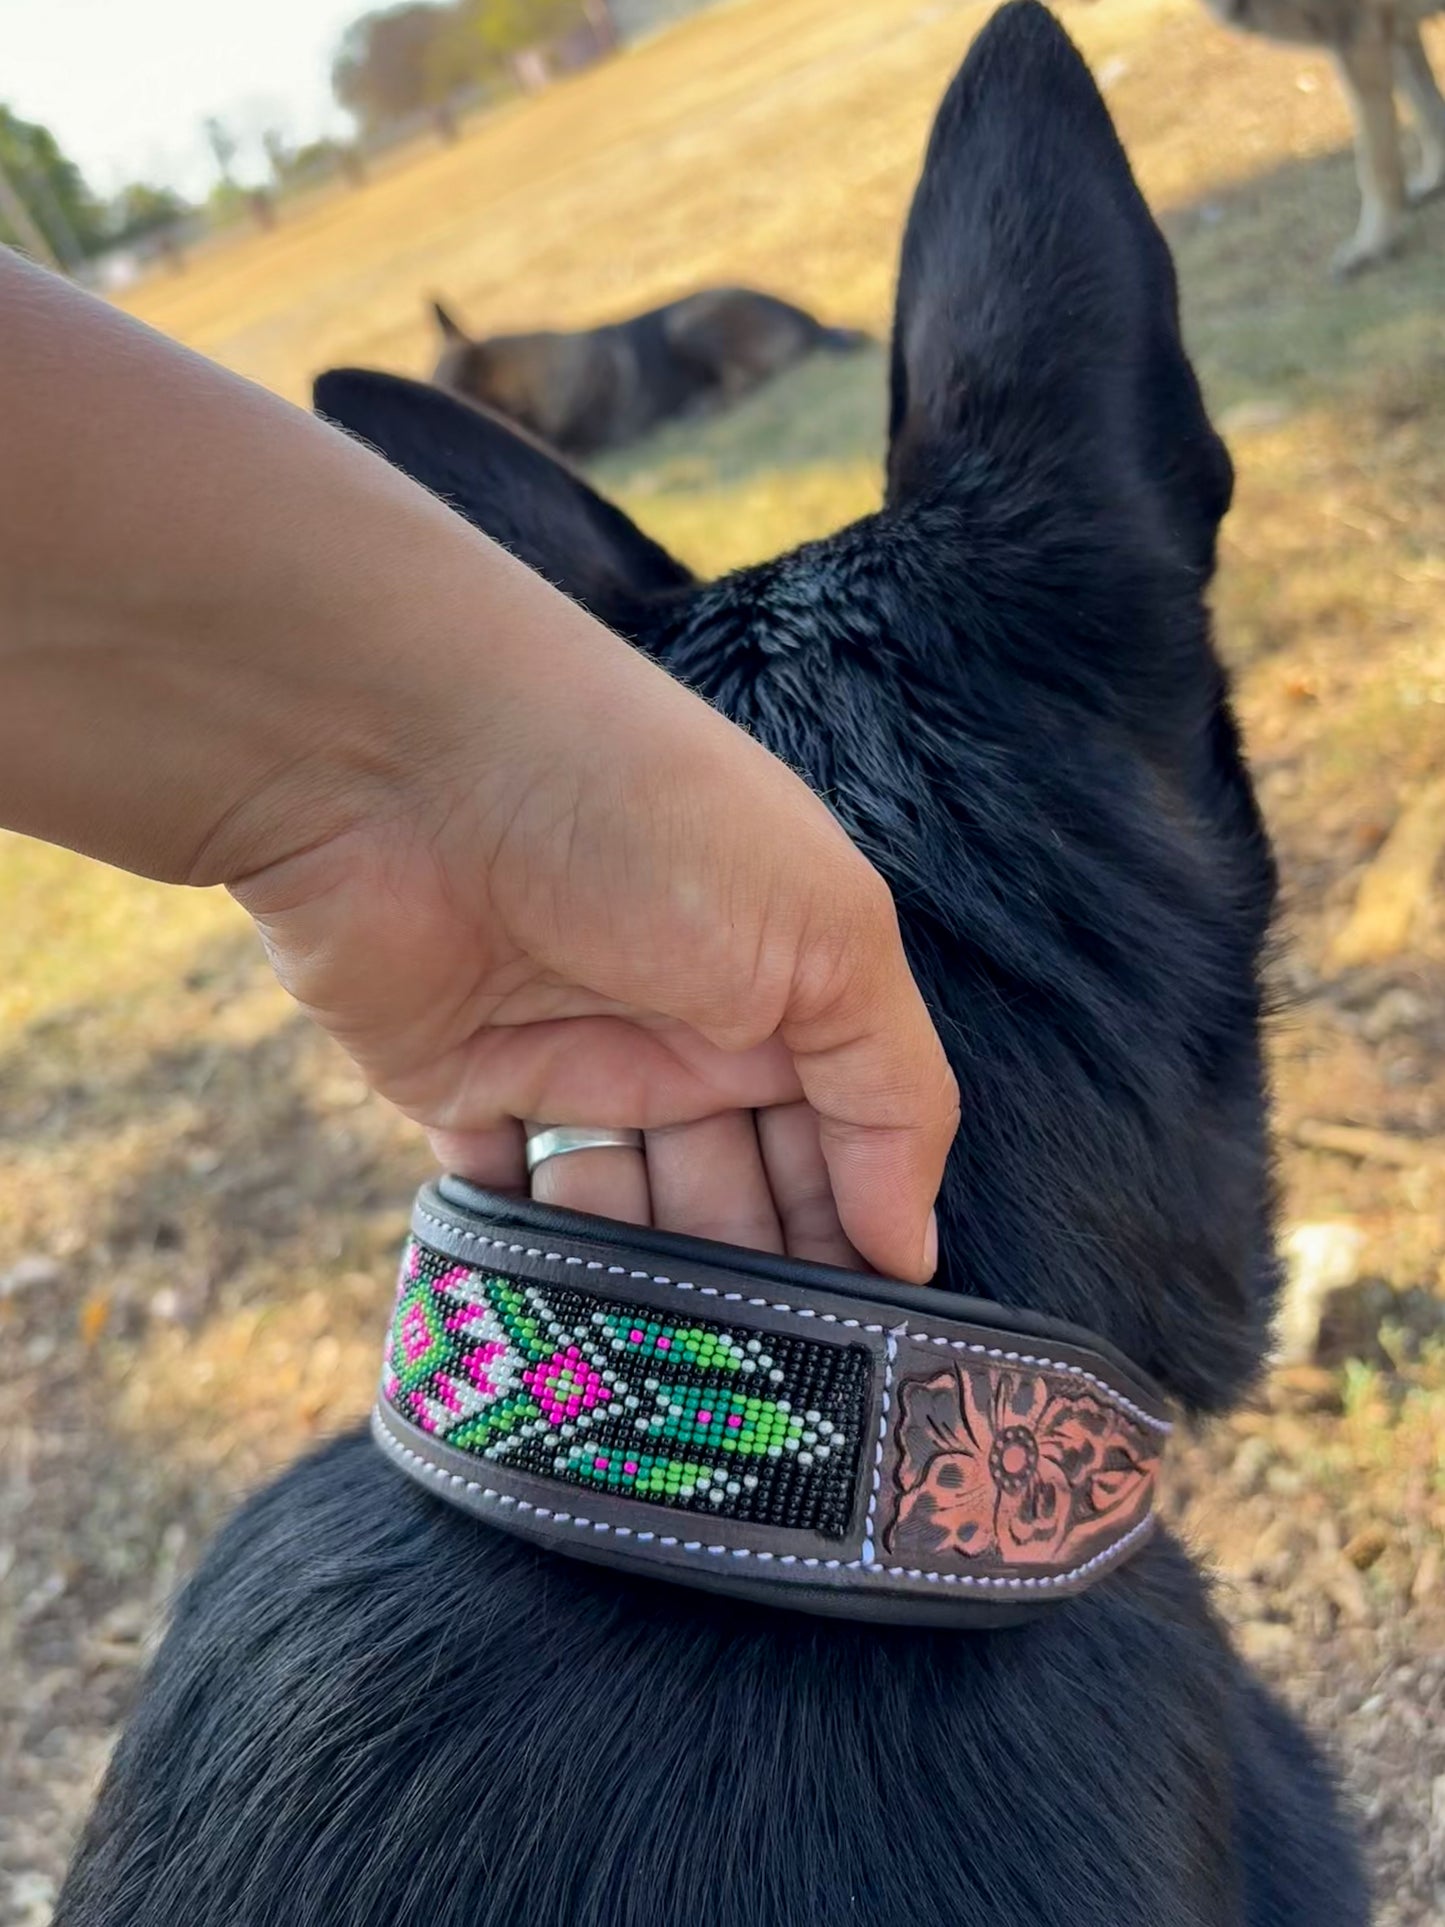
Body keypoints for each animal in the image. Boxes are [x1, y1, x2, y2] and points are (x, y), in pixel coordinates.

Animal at [1209, 0, 1445, 273]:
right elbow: (1428, 115)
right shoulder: (1393, 30)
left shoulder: (1359, 38)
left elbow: (1375, 169)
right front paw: (1436, 182)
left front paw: (1369, 247)